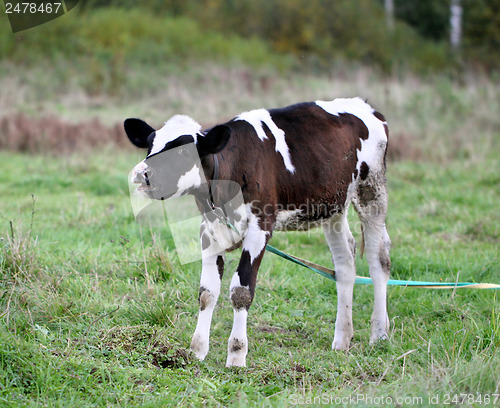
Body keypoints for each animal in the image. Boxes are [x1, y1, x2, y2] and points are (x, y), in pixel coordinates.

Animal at [124, 97, 390, 368]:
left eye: (183, 151)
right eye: (149, 145)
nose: (142, 174)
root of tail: (365, 106)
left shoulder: (260, 228)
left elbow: (241, 290)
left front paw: (236, 355)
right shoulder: (209, 230)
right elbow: (207, 292)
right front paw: (197, 350)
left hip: (372, 193)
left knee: (379, 259)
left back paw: (379, 334)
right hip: (333, 206)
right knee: (345, 261)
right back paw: (342, 338)